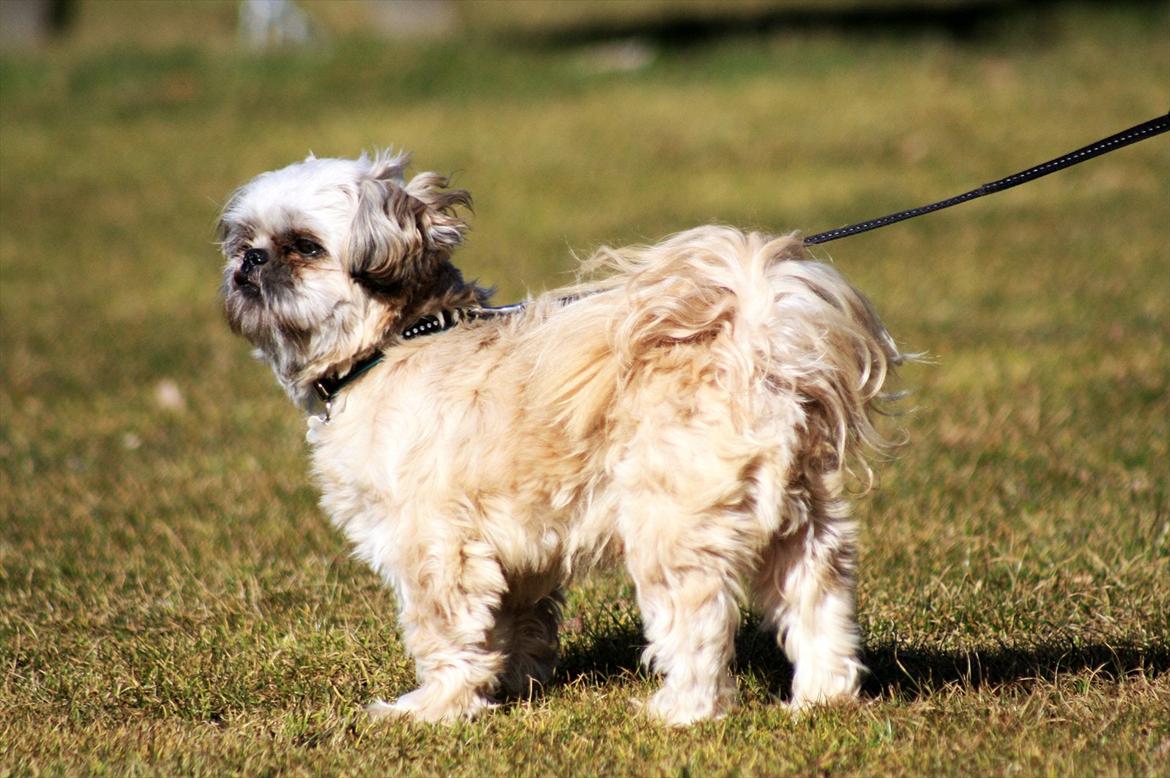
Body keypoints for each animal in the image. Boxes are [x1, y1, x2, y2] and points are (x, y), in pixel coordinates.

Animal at [221, 149, 912, 720]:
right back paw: (823, 699)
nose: (248, 261)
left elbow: (444, 631)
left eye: (304, 246)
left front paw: (433, 707)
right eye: (244, 240)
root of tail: (751, 354)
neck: (393, 343)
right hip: (801, 524)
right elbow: (515, 623)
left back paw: (683, 710)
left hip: (672, 527)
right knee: (817, 601)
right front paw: (512, 685)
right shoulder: (517, 549)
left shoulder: (431, 543)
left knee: (698, 621)